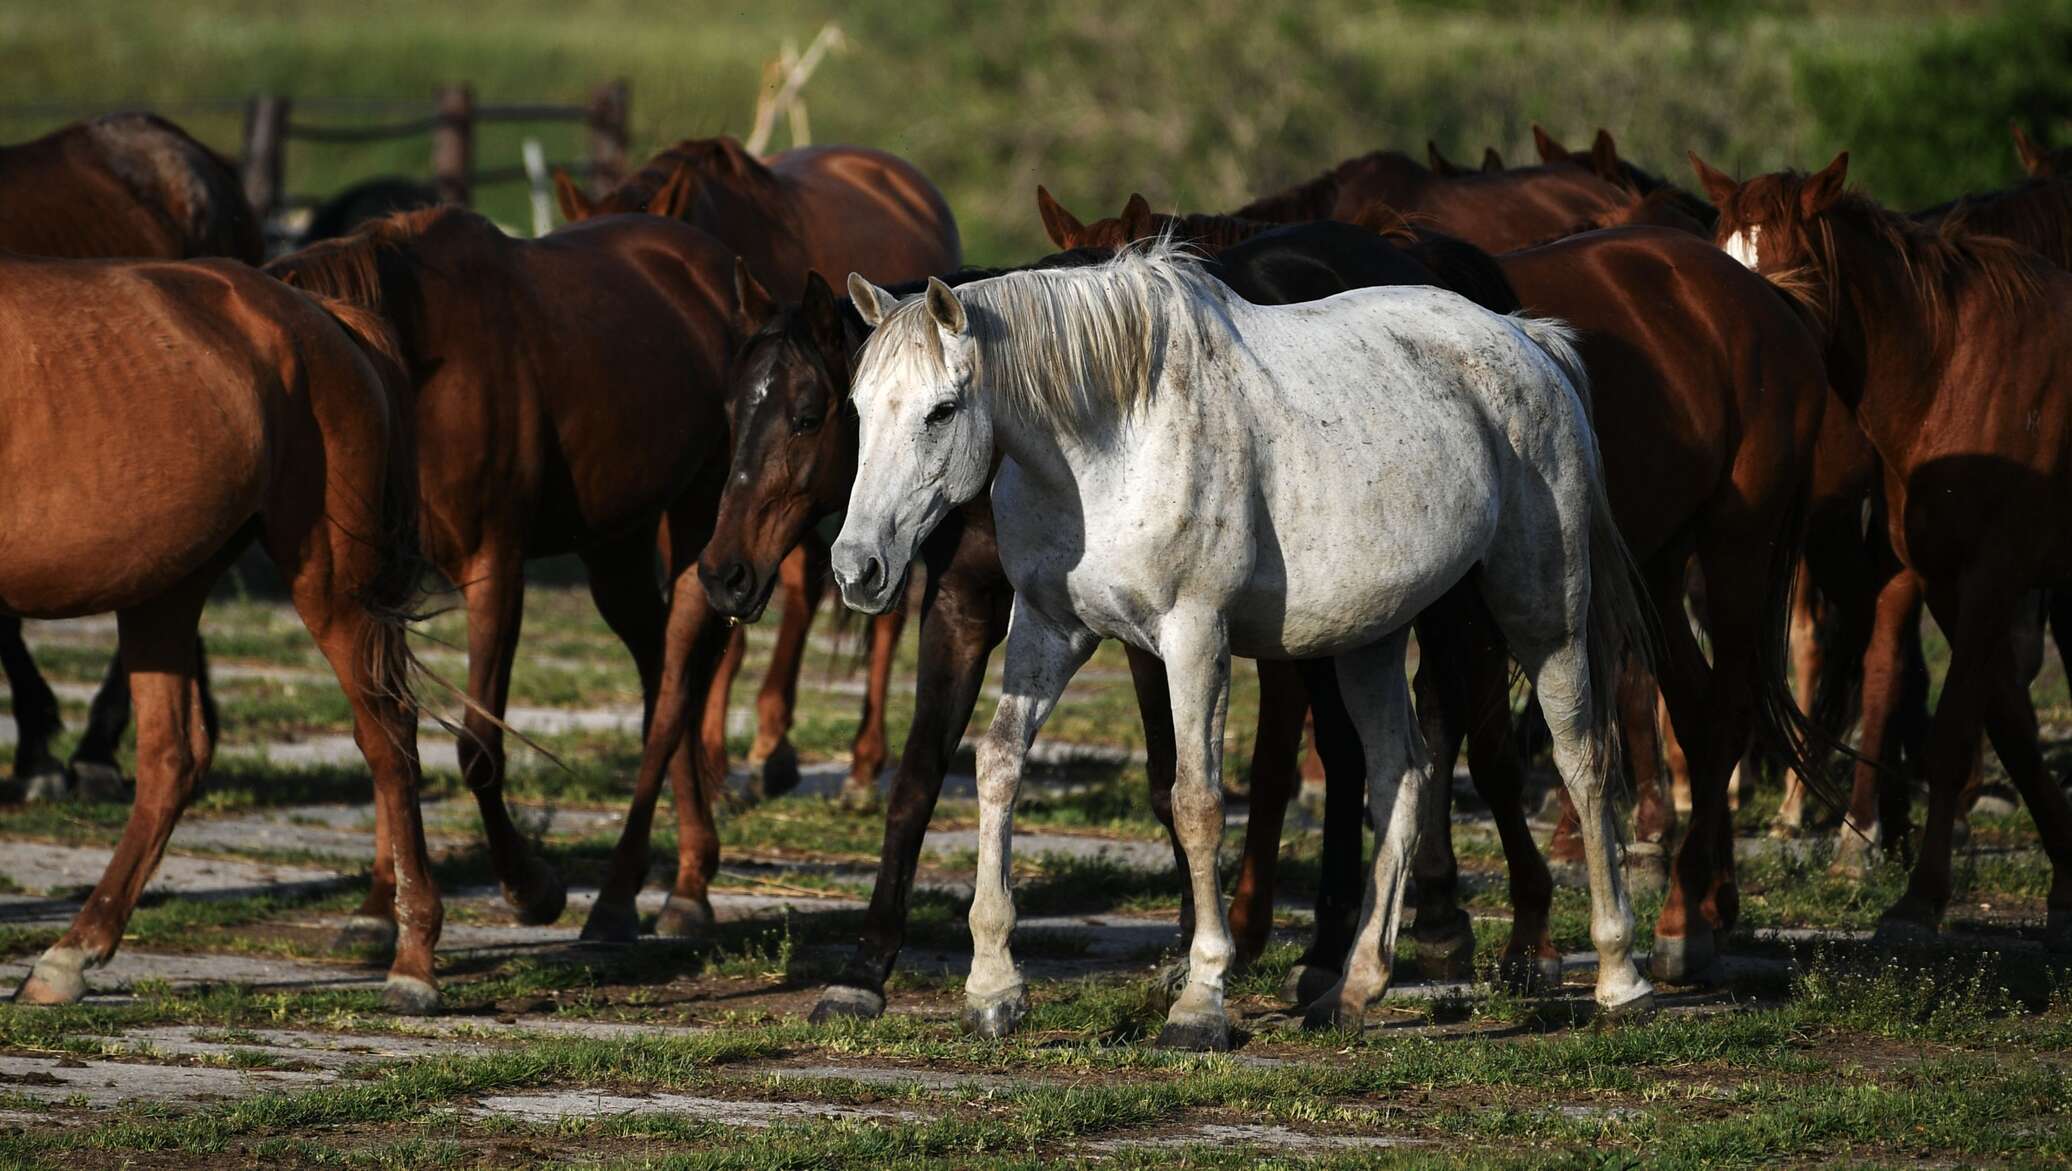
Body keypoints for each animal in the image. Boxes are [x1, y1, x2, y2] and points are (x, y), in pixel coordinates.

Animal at [3, 250, 441, 1007]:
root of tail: (321, 319)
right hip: (162, 589)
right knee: (172, 757)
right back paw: (73, 952)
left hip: (330, 584)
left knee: (388, 736)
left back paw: (412, 963)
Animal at [271, 207, 745, 940]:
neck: (418, 368)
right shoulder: (383, 585)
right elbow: (383, 734)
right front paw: (380, 907)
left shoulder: (492, 567)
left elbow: (477, 745)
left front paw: (530, 887)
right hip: (616, 543)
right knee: (660, 668)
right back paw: (668, 881)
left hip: (699, 519)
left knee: (678, 683)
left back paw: (671, 890)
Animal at [1690, 146, 2072, 949]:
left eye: (1794, 277)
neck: (1954, 370)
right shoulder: (1945, 579)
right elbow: (2010, 725)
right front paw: (2067, 880)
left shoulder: (1993, 573)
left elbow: (1958, 730)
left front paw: (1920, 899)